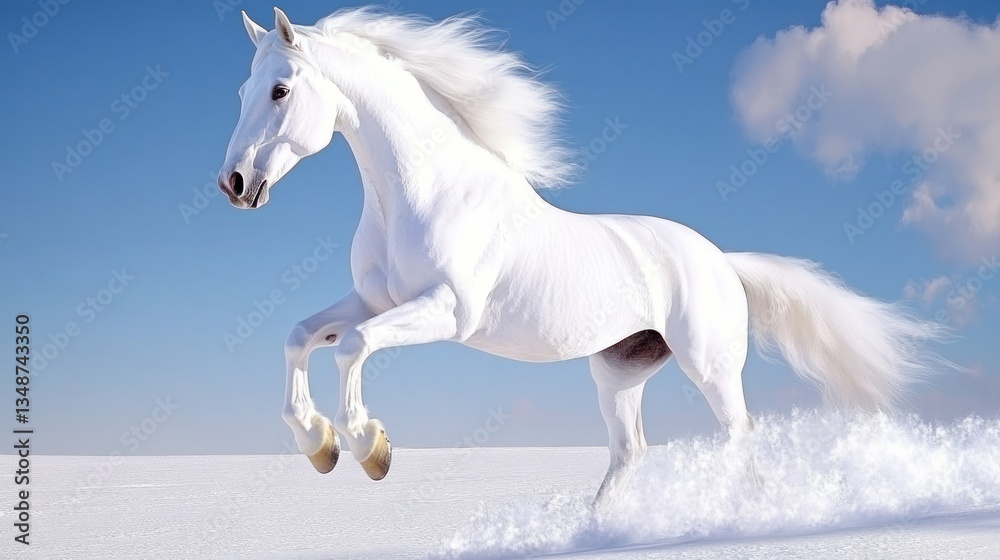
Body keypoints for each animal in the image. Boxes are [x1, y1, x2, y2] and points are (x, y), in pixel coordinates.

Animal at [218, 7, 949, 506]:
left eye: (280, 90)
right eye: (242, 93)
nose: (234, 185)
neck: (423, 193)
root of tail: (723, 261)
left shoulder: (445, 311)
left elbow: (352, 346)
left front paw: (369, 447)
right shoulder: (375, 300)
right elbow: (301, 336)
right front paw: (317, 443)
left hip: (711, 367)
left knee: (739, 436)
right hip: (619, 372)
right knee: (629, 452)